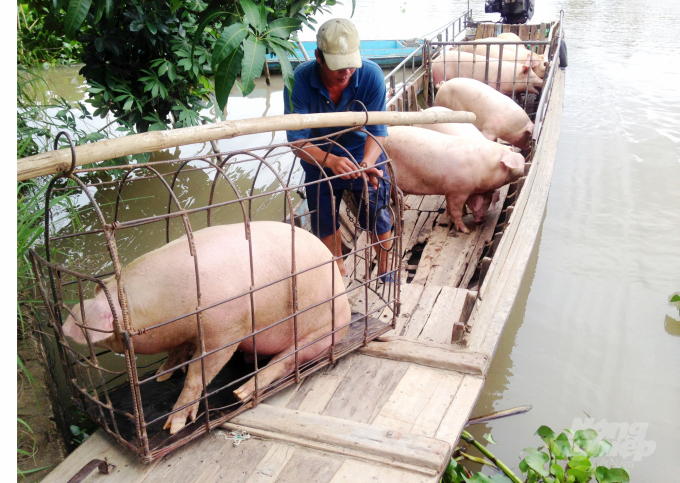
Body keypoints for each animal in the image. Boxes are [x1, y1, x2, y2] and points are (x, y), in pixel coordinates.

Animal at [29, 127, 404, 462]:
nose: (66, 326)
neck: (166, 306)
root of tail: (345, 308)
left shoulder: (226, 330)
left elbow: (200, 374)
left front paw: (173, 427)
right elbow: (180, 353)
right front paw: (162, 374)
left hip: (317, 330)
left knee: (286, 362)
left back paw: (241, 392)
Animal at [382, 125, 524, 233]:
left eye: (488, 202)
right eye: (484, 203)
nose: (480, 221)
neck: (484, 166)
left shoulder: (451, 191)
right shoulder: (457, 190)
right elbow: (456, 210)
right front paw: (466, 230)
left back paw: (406, 206)